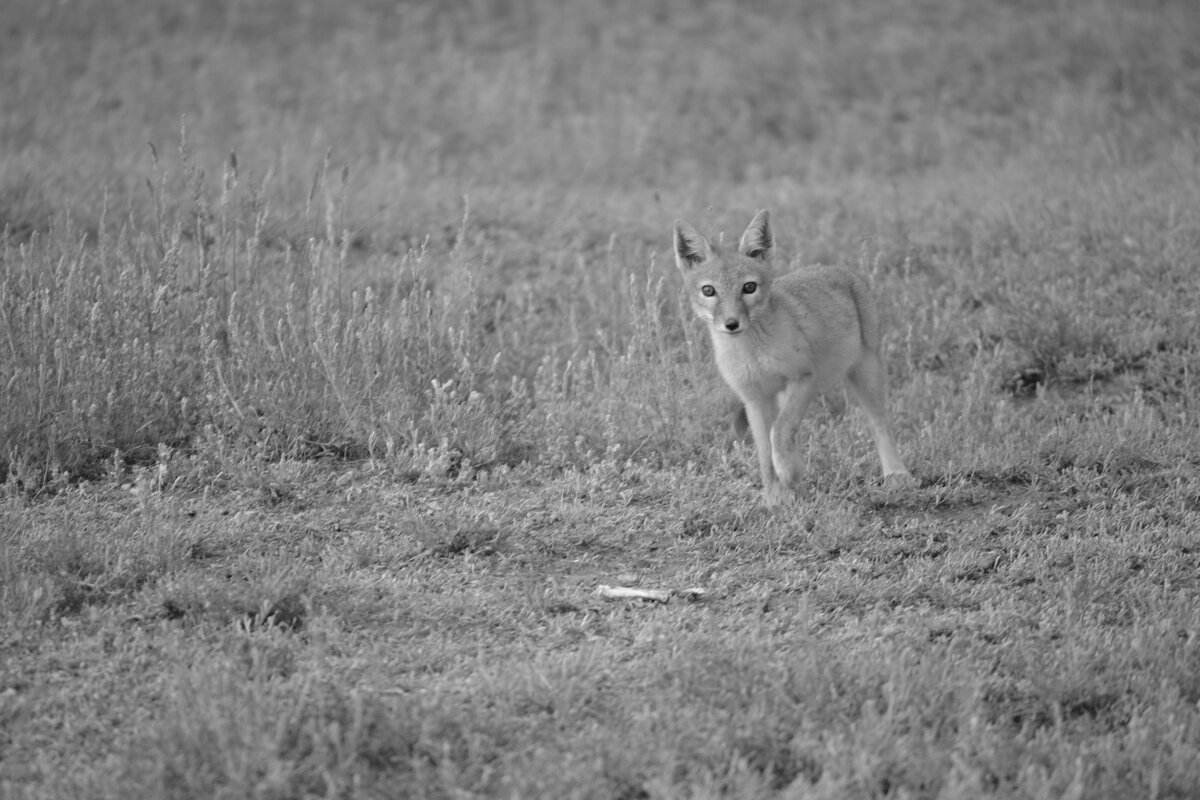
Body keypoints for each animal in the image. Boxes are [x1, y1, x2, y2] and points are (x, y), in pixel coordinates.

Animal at [676, 208, 907, 506]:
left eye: (748, 287)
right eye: (709, 291)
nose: (731, 324)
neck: (752, 351)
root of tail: (835, 268)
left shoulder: (803, 378)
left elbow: (780, 431)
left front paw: (785, 473)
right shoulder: (754, 398)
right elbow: (765, 450)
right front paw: (775, 496)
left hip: (866, 375)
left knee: (880, 425)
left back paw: (896, 474)